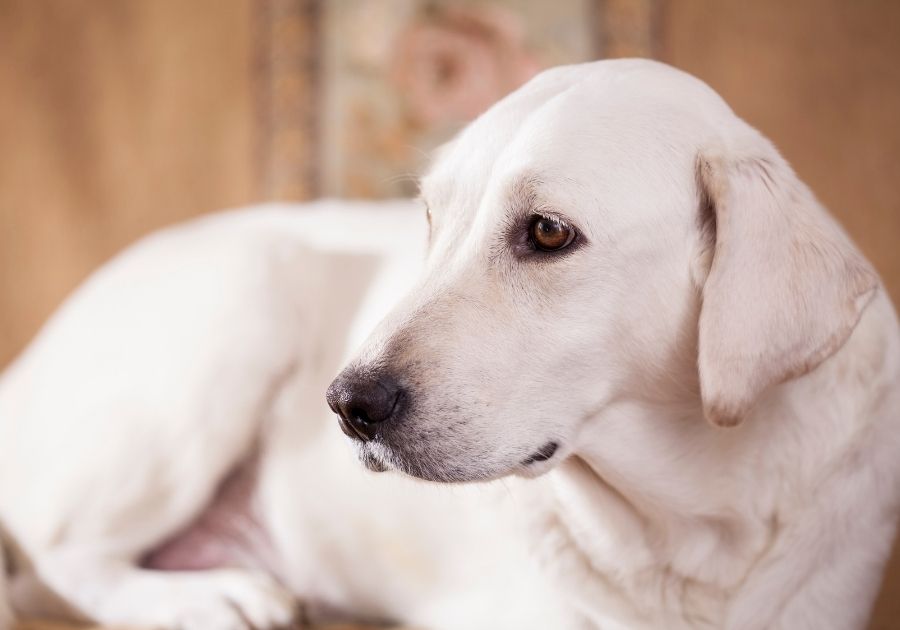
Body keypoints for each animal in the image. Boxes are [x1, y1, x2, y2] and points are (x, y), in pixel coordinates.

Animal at [1, 60, 900, 630]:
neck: (695, 522)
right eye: (432, 218)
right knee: (60, 560)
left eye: (548, 232)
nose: (346, 405)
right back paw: (206, 600)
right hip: (246, 296)